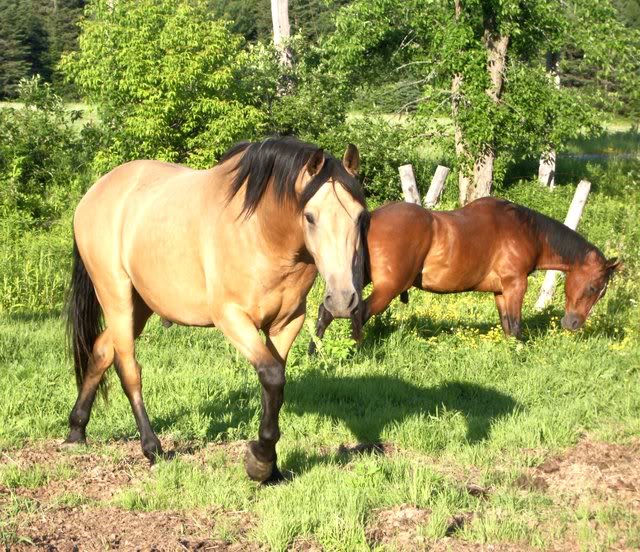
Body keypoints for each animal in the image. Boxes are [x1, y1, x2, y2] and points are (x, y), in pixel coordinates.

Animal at [65, 137, 368, 484]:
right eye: (310, 216)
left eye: (360, 217)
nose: (342, 300)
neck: (261, 232)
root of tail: (94, 193)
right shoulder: (232, 317)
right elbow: (272, 376)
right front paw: (260, 461)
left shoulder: (287, 323)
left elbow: (273, 386)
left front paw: (271, 467)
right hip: (115, 296)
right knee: (129, 369)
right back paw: (152, 447)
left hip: (140, 305)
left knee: (102, 351)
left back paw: (76, 430)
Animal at [308, 196, 620, 350]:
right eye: (594, 287)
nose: (573, 324)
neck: (525, 230)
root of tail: (369, 218)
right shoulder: (515, 286)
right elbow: (516, 327)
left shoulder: (500, 291)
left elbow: (507, 326)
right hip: (387, 289)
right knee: (358, 315)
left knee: (327, 312)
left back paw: (316, 352)